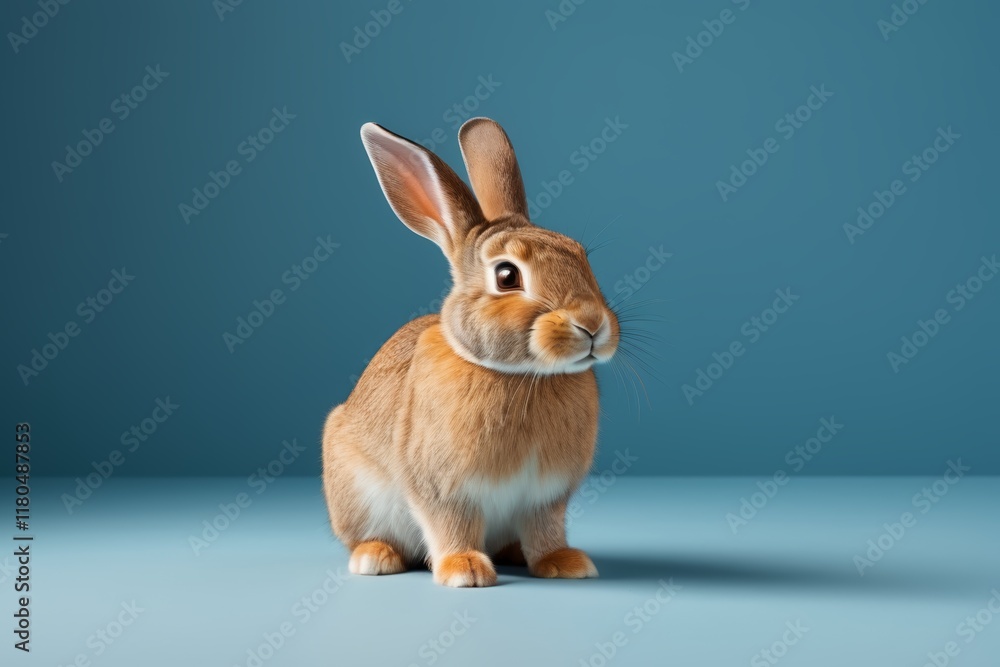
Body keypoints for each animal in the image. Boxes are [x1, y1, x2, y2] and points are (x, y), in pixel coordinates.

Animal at [322, 117, 619, 587]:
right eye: (507, 276)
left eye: (581, 255)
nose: (592, 324)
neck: (520, 374)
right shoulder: (441, 489)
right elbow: (451, 524)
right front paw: (465, 570)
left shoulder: (546, 498)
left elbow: (546, 530)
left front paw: (565, 563)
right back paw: (376, 557)